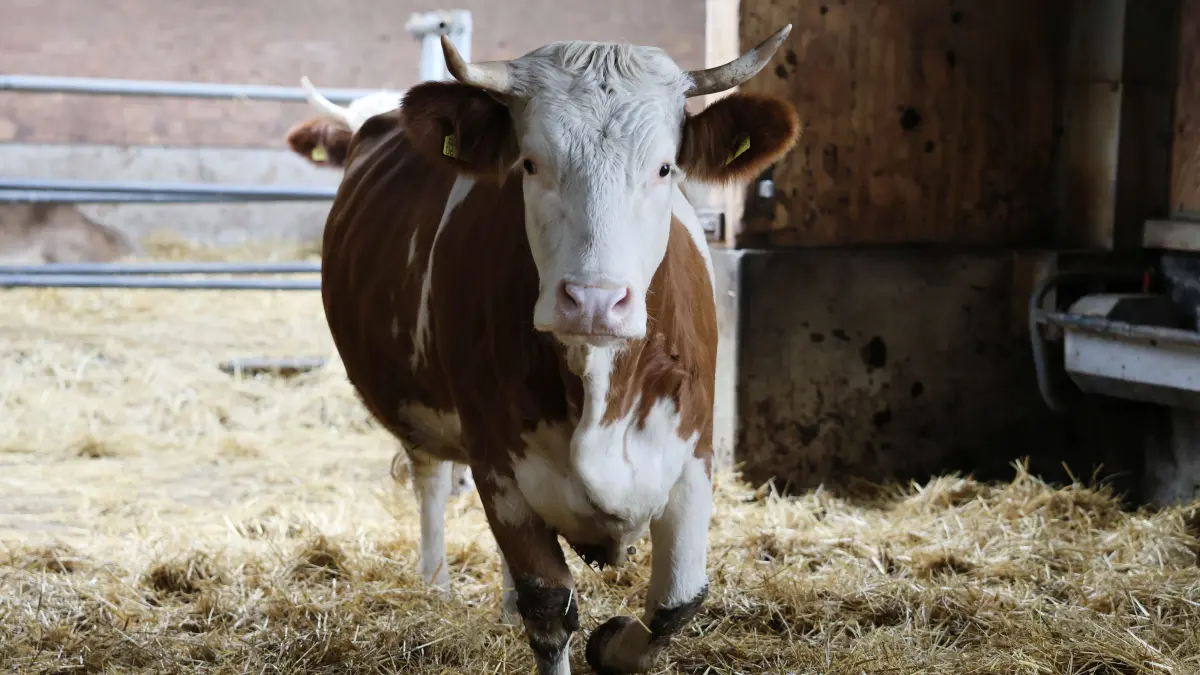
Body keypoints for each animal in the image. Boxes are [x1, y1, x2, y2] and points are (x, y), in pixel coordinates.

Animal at [320, 26, 800, 674]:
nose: (594, 301)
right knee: (432, 479)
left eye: (665, 167)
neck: (598, 386)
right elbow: (549, 606)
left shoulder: (693, 453)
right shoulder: (498, 461)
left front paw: (613, 643)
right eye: (530, 162)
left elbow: (676, 602)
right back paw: (436, 583)